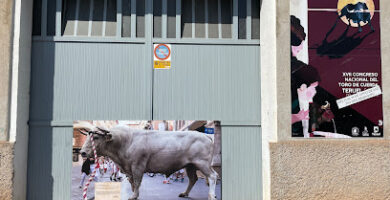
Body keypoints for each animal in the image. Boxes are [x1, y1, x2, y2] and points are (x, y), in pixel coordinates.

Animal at [78, 125, 219, 200]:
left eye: (96, 137)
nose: (82, 153)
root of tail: (204, 135)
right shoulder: (129, 169)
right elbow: (132, 182)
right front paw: (134, 194)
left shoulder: (137, 166)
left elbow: (137, 181)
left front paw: (134, 196)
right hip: (190, 166)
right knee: (193, 179)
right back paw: (185, 193)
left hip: (202, 163)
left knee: (213, 176)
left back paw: (211, 195)